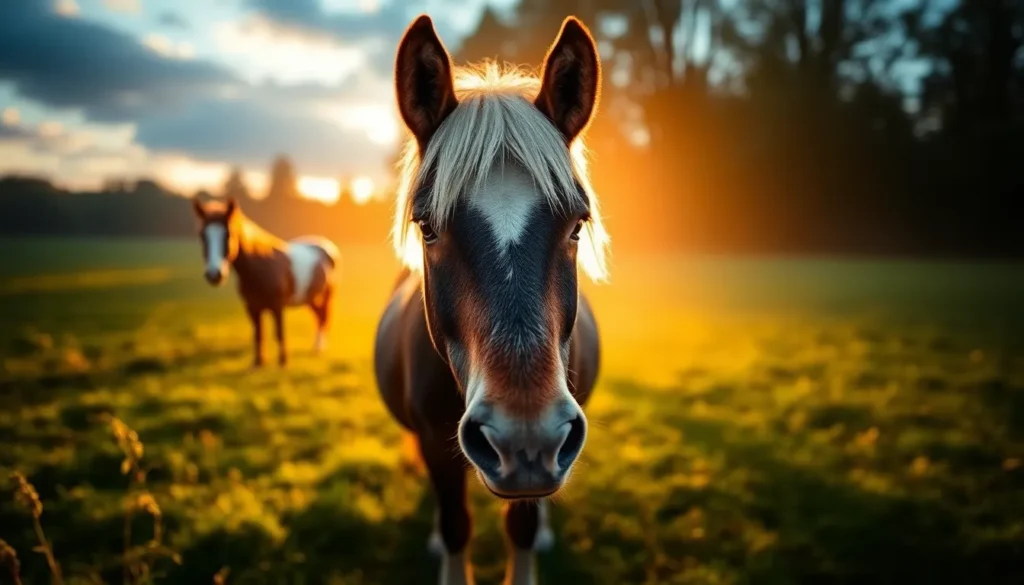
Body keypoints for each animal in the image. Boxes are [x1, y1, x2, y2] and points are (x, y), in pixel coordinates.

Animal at [191, 196, 341, 367]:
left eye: (228, 235)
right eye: (202, 236)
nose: (214, 274)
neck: (261, 268)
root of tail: (328, 248)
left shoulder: (277, 306)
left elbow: (279, 332)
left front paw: (283, 362)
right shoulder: (252, 307)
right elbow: (258, 333)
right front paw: (258, 363)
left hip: (326, 296)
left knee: (324, 317)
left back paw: (318, 348)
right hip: (311, 298)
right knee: (319, 317)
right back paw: (317, 347)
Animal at [373, 15, 610, 585]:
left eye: (577, 225)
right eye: (427, 226)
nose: (524, 434)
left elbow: (519, 528)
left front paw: (535, 532)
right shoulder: (435, 445)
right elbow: (456, 524)